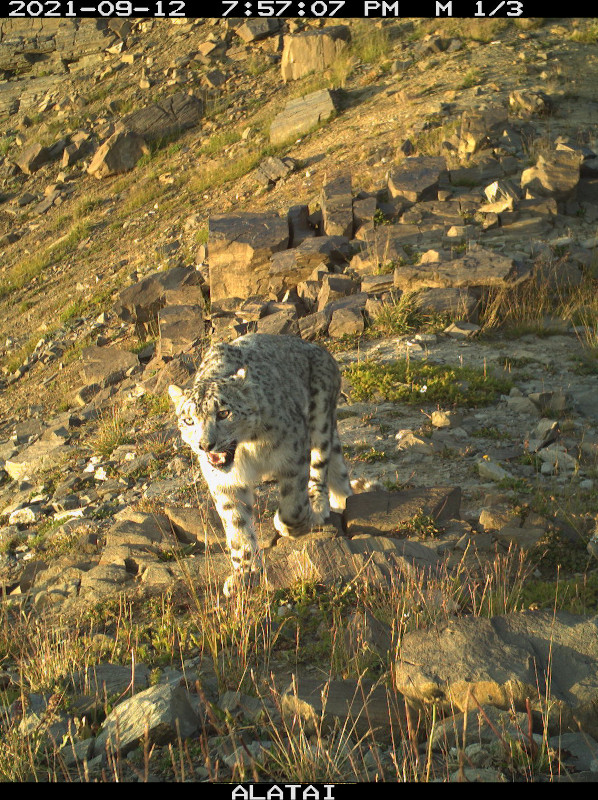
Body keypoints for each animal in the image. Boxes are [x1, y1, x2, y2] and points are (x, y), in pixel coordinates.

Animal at [168, 333, 353, 597]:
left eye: (224, 413)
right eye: (188, 420)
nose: (205, 445)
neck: (247, 451)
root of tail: (320, 349)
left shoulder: (292, 453)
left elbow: (293, 507)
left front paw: (288, 527)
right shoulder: (224, 482)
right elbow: (237, 525)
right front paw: (244, 574)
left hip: (320, 417)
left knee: (321, 463)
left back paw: (318, 505)